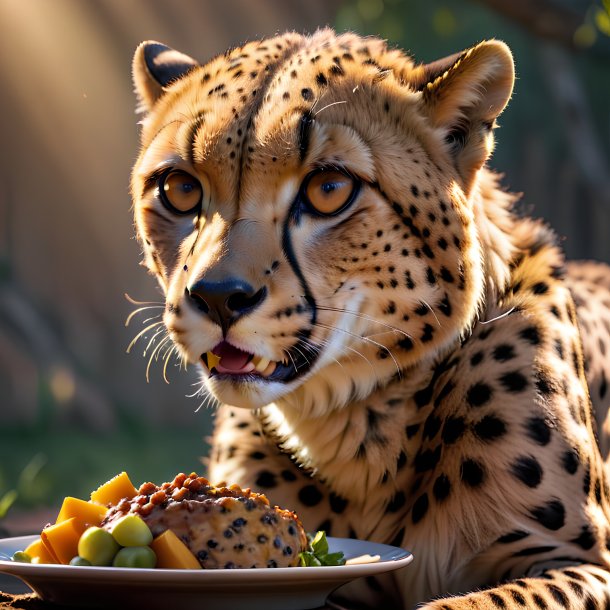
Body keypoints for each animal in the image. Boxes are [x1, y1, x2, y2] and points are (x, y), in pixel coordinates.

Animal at [129, 29, 610, 608]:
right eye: (180, 188)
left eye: (328, 189)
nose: (219, 297)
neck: (355, 426)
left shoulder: (580, 562)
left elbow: (479, 600)